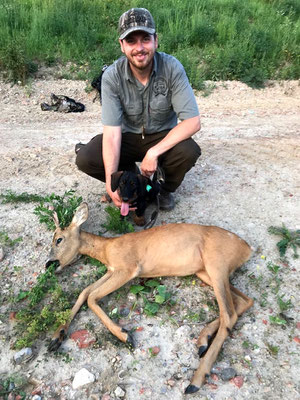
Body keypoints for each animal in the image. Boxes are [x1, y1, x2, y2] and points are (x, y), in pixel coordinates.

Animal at [45, 203, 252, 394]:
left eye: (59, 239)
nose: (48, 263)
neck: (107, 249)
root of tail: (247, 249)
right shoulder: (112, 270)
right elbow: (85, 292)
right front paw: (56, 337)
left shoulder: (128, 268)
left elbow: (92, 297)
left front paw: (125, 335)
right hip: (205, 272)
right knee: (244, 301)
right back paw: (202, 341)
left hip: (216, 265)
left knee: (229, 315)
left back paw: (196, 380)